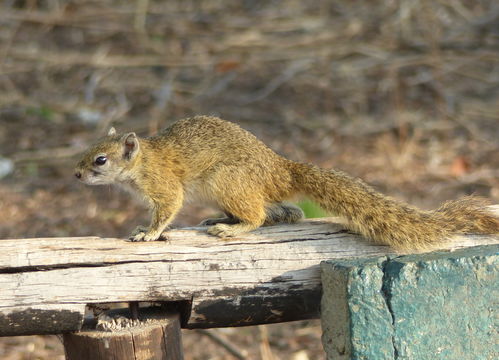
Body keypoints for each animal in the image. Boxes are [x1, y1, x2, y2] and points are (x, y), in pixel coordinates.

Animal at [75, 116, 499, 250]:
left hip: (229, 181)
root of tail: (281, 170)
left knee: (259, 216)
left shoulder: (164, 185)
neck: (143, 160)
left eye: (101, 160)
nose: (76, 174)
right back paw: (222, 219)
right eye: (85, 149)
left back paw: (232, 228)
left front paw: (148, 232)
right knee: (286, 212)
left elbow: (167, 208)